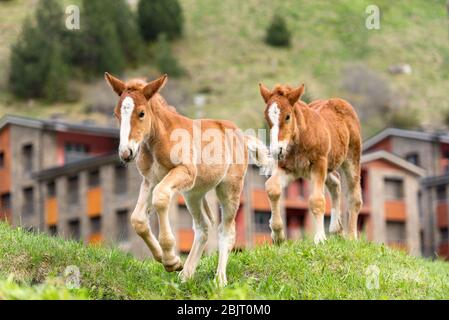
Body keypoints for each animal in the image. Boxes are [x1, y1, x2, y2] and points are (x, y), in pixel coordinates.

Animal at [105, 72, 268, 284]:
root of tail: (242, 135)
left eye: (141, 113)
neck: (159, 139)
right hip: (194, 194)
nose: (126, 153)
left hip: (229, 187)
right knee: (203, 226)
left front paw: (170, 258)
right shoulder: (150, 181)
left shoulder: (184, 172)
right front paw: (167, 260)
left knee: (227, 230)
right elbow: (137, 219)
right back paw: (185, 275)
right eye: (117, 114)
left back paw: (220, 280)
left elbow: (161, 197)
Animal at [258, 84, 362, 244]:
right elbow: (272, 188)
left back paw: (351, 236)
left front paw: (320, 238)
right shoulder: (289, 168)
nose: (276, 150)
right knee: (336, 181)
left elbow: (317, 200)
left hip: (351, 157)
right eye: (267, 117)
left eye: (287, 116)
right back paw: (336, 228)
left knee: (354, 195)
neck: (300, 138)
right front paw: (277, 235)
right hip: (326, 166)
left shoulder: (319, 164)